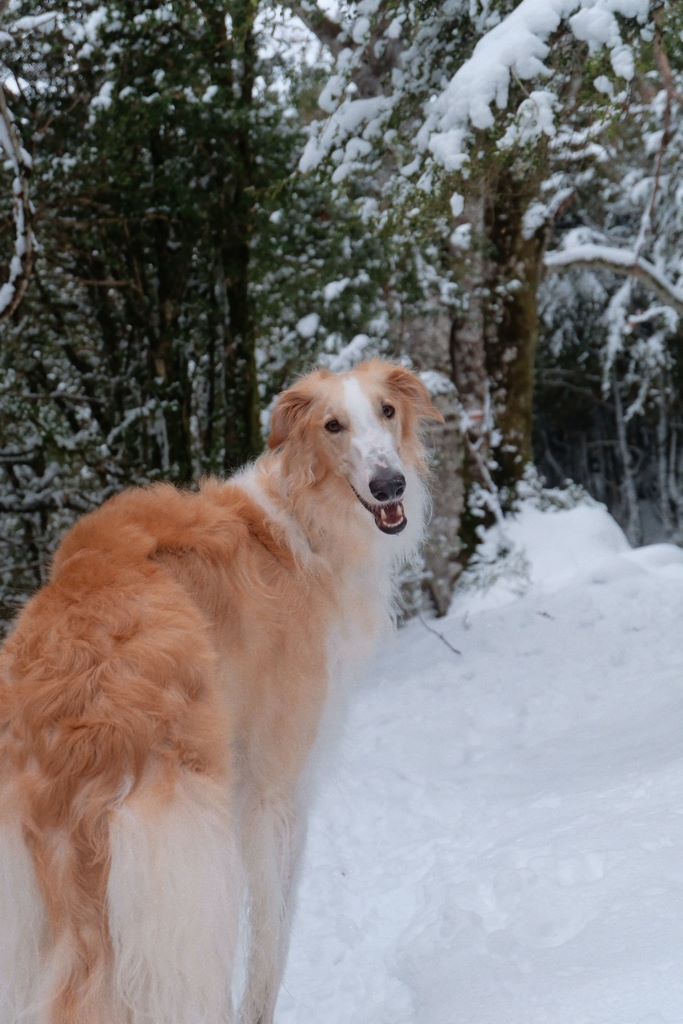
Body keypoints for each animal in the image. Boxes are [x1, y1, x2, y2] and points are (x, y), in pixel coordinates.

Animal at [0, 356, 444, 1019]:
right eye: (332, 425)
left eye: (387, 411)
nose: (389, 486)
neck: (300, 524)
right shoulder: (275, 793)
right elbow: (271, 944)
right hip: (179, 873)